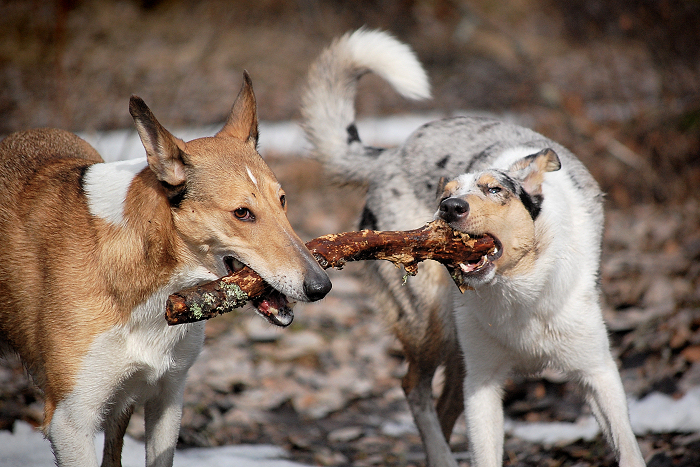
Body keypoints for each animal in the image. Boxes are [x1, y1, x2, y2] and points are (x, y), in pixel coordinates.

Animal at [300, 29, 644, 467]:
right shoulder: (483, 383)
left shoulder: (598, 374)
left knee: (441, 405)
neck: (519, 293)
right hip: (434, 327)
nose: (450, 208)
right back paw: (441, 455)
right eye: (443, 195)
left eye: (494, 189)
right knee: (415, 388)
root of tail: (391, 155)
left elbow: (629, 449)